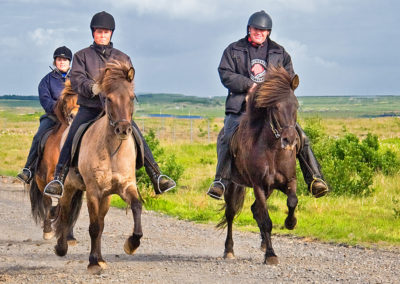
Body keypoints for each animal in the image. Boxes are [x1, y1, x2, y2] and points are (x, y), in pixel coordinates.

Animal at [29, 79, 79, 241]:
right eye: (66, 101)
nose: (74, 116)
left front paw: (69, 235)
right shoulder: (52, 178)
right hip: (40, 181)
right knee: (46, 202)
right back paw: (47, 230)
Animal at [52, 59, 141, 272]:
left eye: (132, 98)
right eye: (108, 99)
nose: (124, 129)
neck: (112, 150)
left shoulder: (126, 186)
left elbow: (136, 207)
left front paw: (132, 243)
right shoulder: (93, 191)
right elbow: (93, 227)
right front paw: (92, 262)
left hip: (106, 197)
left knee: (100, 222)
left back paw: (100, 257)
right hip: (69, 187)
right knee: (64, 213)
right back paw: (61, 247)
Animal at [217, 65, 298, 266]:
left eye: (296, 106)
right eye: (275, 107)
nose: (290, 140)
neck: (273, 151)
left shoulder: (288, 181)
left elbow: (292, 201)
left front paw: (290, 223)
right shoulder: (259, 185)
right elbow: (266, 220)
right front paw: (270, 255)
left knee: (255, 210)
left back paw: (262, 243)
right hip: (232, 184)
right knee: (231, 213)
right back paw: (229, 250)